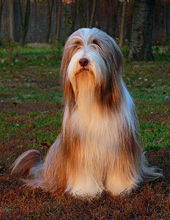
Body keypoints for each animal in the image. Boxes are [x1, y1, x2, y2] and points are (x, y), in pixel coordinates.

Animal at [10, 27, 162, 198]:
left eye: (96, 43)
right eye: (76, 45)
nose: (83, 61)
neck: (92, 95)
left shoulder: (120, 140)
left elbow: (119, 167)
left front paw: (120, 188)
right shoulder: (80, 144)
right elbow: (83, 169)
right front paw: (85, 191)